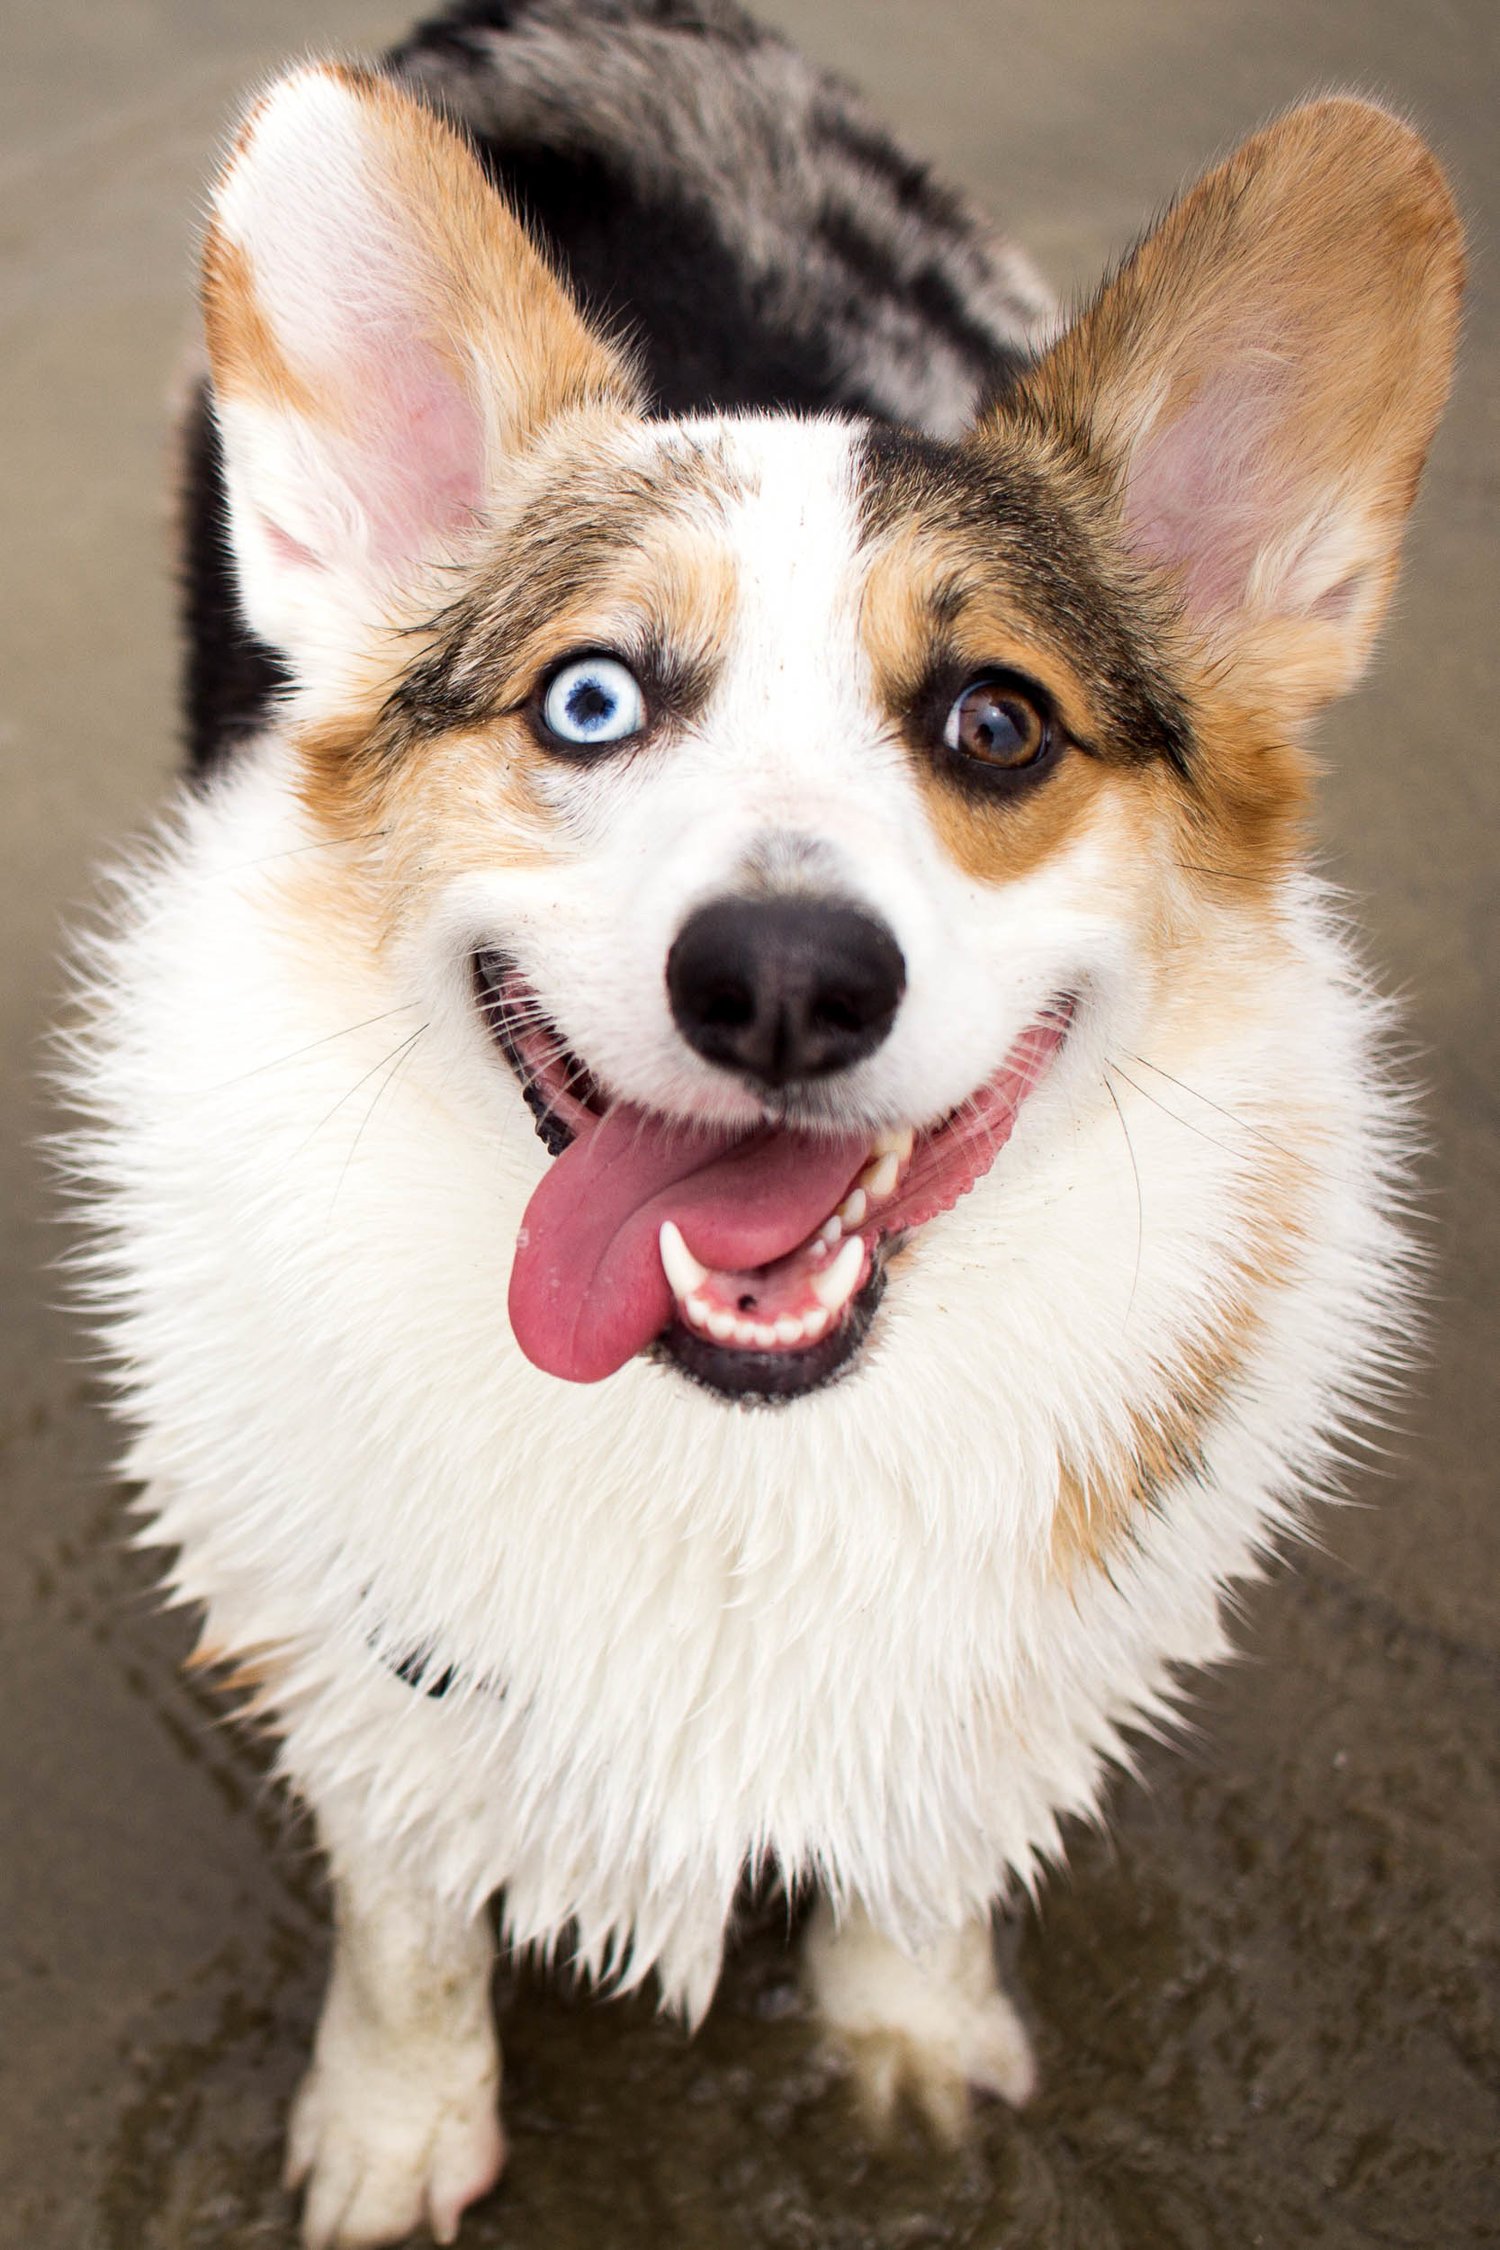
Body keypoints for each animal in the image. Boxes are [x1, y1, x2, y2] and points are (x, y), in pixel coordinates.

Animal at [64, 4, 1457, 2250]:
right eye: (590, 702)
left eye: (998, 722)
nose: (788, 979)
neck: (734, 1448)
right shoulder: (359, 1652)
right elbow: (409, 1915)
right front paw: (391, 2131)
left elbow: (928, 1872)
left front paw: (910, 2059)